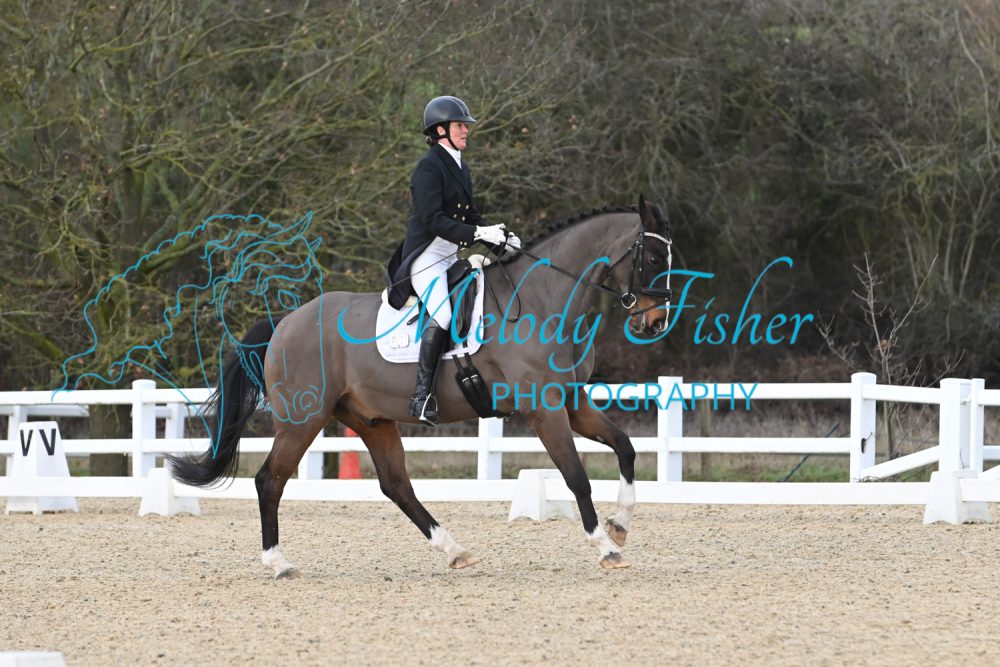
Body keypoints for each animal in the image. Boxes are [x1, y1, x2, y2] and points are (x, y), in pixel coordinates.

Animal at [168, 195, 673, 577]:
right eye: (652, 257)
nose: (654, 323)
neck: (541, 300)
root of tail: (286, 323)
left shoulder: (571, 403)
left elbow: (626, 448)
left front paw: (620, 523)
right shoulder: (544, 410)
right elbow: (576, 477)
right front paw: (607, 547)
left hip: (371, 420)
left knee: (396, 486)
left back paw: (455, 550)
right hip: (302, 418)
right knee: (269, 480)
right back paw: (278, 563)